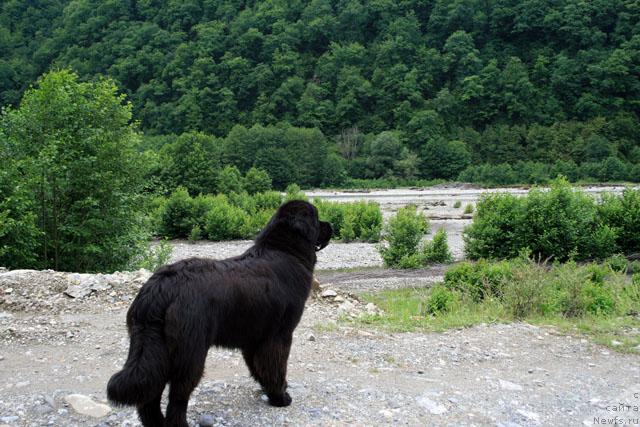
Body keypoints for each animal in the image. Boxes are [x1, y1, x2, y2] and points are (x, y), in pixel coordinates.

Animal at [107, 201, 332, 427]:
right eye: (317, 218)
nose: (330, 225)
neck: (286, 252)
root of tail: (159, 287)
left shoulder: (253, 337)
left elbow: (259, 367)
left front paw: (267, 389)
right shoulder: (279, 335)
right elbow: (276, 368)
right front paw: (280, 398)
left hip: (155, 350)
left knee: (150, 395)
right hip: (190, 353)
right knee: (177, 396)